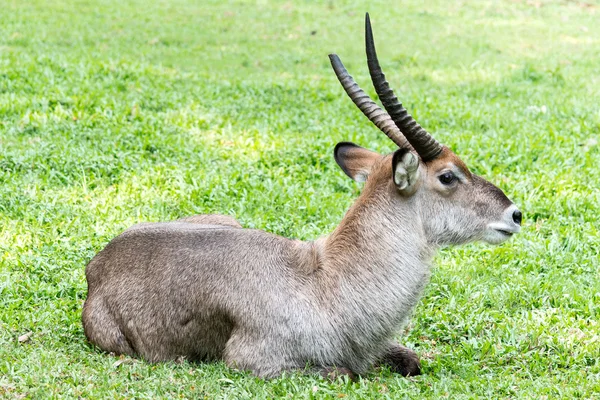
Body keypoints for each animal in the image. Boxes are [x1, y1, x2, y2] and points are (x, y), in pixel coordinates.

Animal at [82, 14, 524, 380]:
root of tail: (97, 264)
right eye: (448, 176)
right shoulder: (253, 361)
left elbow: (413, 360)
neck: (324, 281)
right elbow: (346, 373)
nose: (515, 214)